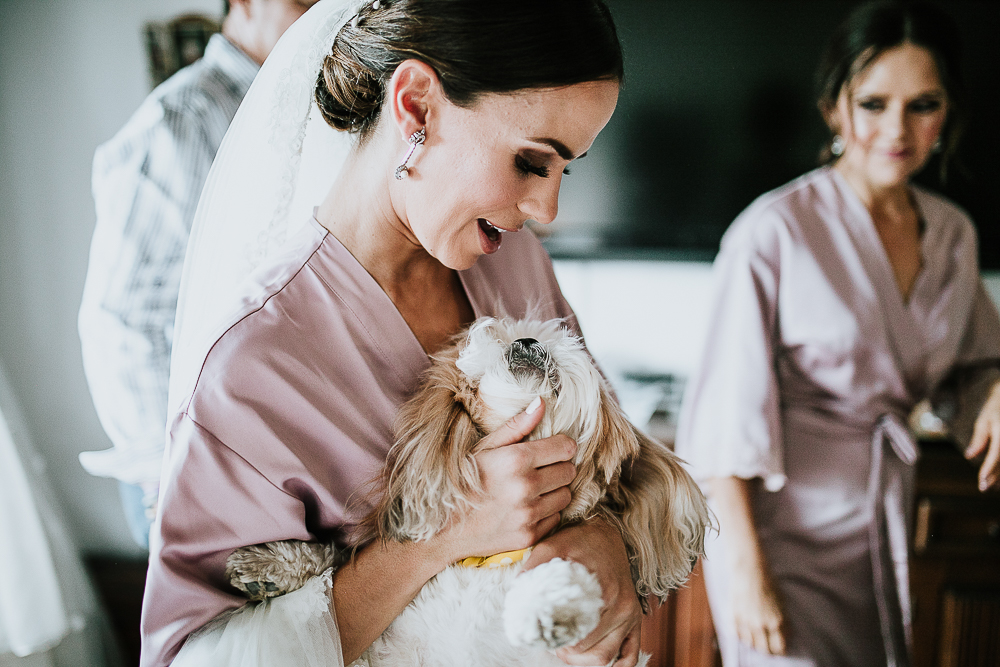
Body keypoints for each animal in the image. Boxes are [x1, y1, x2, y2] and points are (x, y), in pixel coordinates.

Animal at [227, 318, 712, 667]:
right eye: (506, 334)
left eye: (566, 351)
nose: (527, 341)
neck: (486, 560)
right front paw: (274, 565)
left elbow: (564, 571)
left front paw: (550, 610)